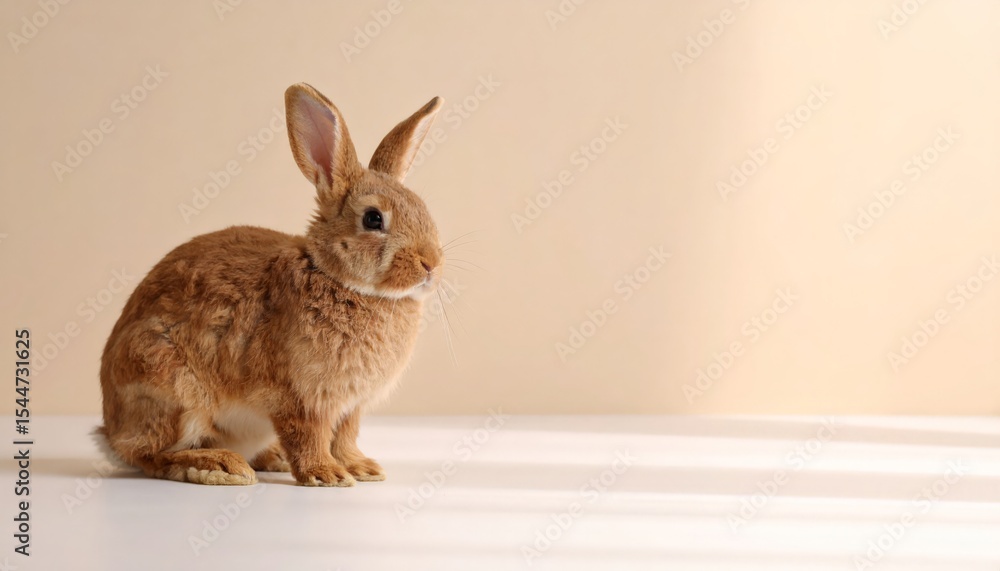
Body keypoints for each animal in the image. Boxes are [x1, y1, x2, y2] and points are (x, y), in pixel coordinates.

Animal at [96, 83, 445, 486]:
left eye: (423, 210)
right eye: (373, 219)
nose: (431, 264)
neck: (338, 278)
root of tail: (110, 431)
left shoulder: (350, 406)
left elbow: (345, 436)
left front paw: (361, 468)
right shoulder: (298, 397)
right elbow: (308, 436)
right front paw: (326, 474)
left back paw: (269, 458)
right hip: (172, 388)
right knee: (149, 455)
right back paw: (219, 465)